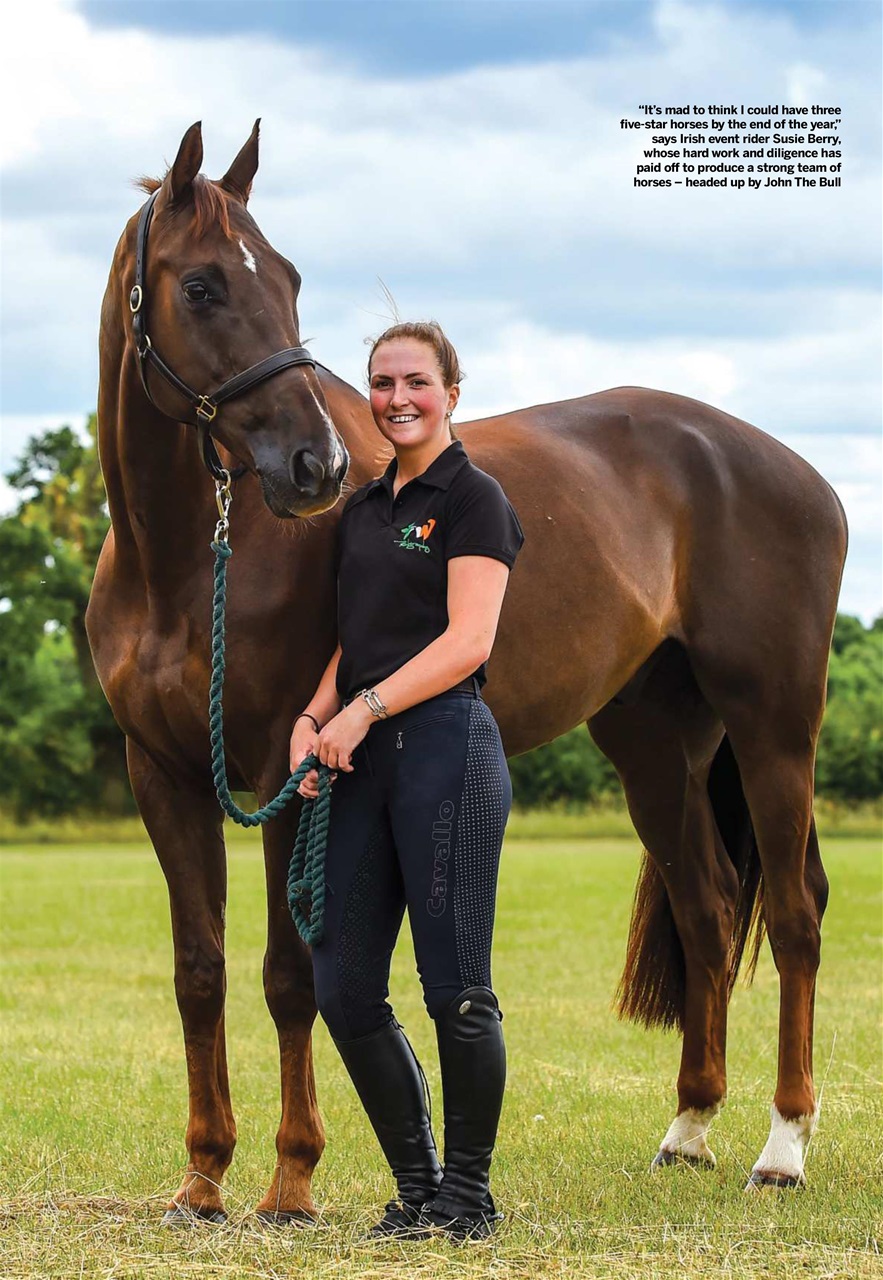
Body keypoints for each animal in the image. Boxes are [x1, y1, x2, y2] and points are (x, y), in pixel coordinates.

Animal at [86, 121, 847, 1222]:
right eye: (200, 286)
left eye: (288, 278)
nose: (315, 466)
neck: (188, 562)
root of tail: (791, 469)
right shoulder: (164, 774)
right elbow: (200, 971)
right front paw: (202, 1175)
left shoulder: (284, 768)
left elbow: (287, 974)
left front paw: (290, 1177)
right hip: (656, 746)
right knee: (706, 909)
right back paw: (689, 1130)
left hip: (773, 731)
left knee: (791, 915)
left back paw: (781, 1146)